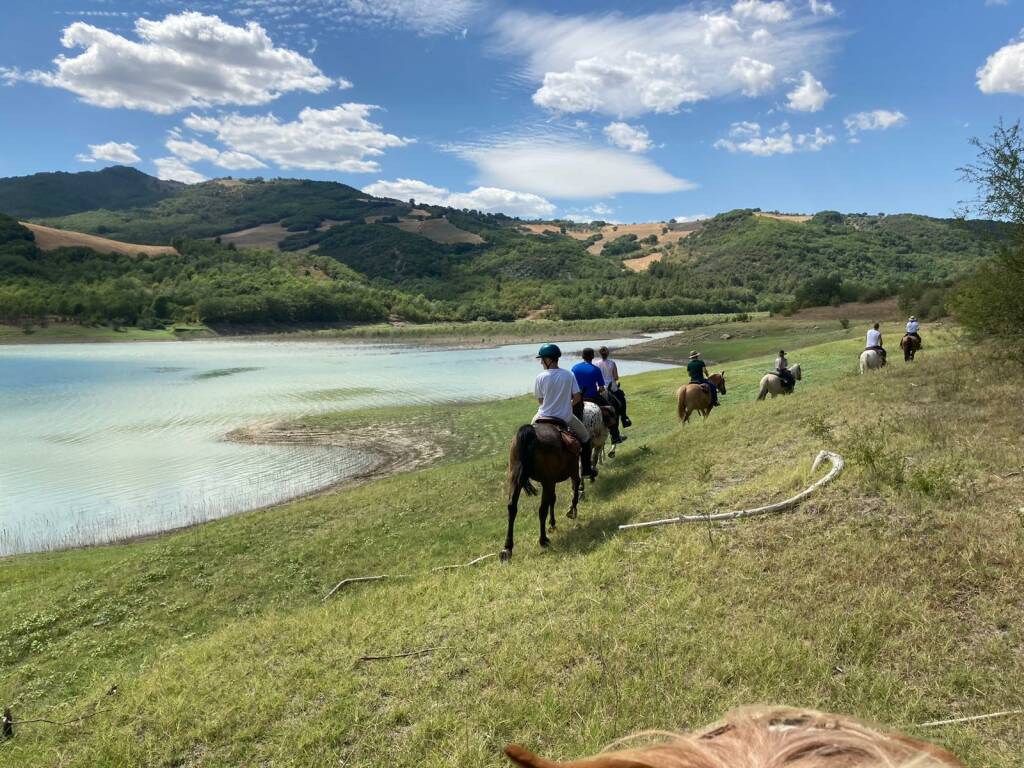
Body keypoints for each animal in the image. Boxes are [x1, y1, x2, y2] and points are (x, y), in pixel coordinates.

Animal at [499, 423, 581, 561]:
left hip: (515, 477)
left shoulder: (552, 481)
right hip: (547, 481)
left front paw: (552, 523)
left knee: (512, 508)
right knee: (542, 509)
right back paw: (543, 540)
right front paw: (571, 510)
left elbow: (553, 499)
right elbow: (574, 488)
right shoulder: (571, 472)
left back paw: (507, 548)